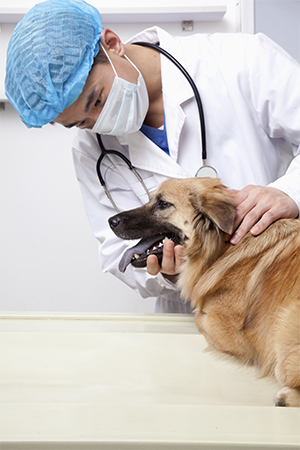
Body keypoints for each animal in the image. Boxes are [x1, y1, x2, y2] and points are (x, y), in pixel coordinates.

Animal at [108, 178, 300, 406]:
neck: (221, 248)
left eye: (163, 204)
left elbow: (198, 317)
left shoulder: (234, 334)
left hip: (284, 333)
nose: (110, 220)